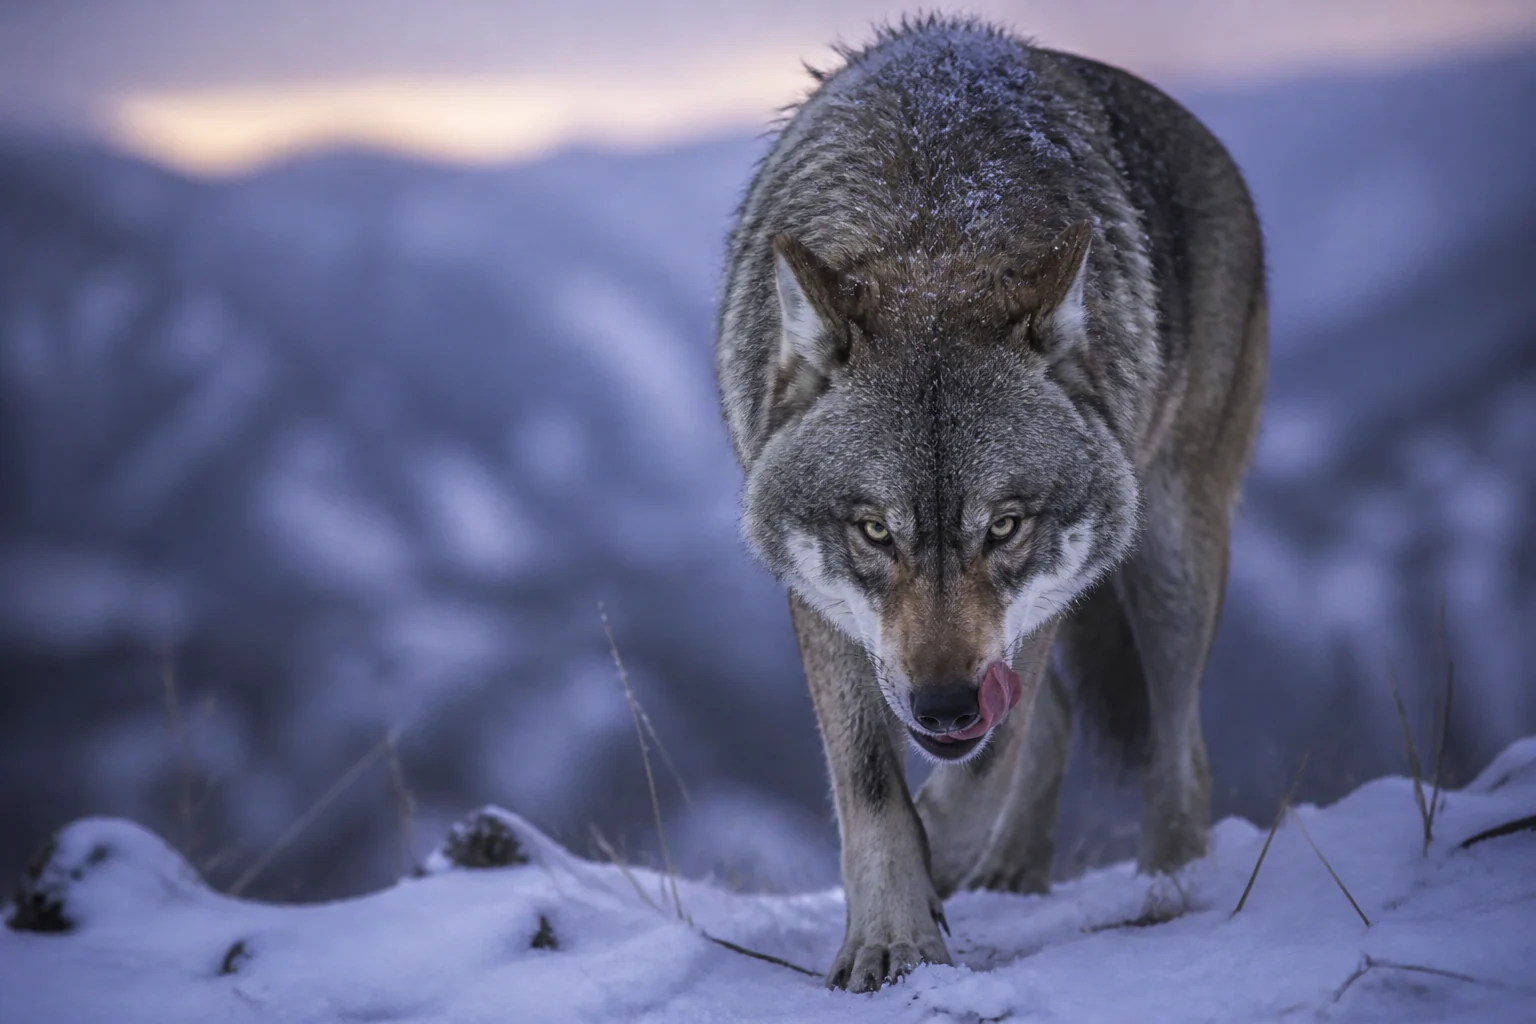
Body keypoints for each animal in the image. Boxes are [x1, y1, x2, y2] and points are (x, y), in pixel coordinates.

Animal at [716, 16, 1266, 992]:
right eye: (874, 531)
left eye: (1003, 527)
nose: (943, 708)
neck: (934, 227)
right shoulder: (821, 607)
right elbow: (872, 788)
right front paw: (894, 936)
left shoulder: (1035, 609)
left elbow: (984, 769)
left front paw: (932, 867)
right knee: (1059, 722)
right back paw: (1014, 875)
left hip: (1171, 560)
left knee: (1178, 751)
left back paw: (1170, 896)